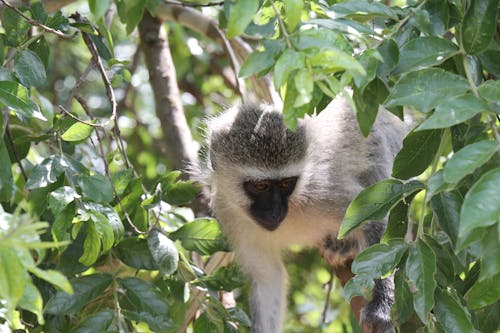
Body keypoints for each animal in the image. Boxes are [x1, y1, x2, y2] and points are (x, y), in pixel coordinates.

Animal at [193, 95, 408, 332]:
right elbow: (269, 277)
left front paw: (381, 306)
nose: (274, 211)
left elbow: (375, 217)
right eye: (260, 186)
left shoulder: (322, 192)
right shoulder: (228, 212)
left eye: (287, 183)